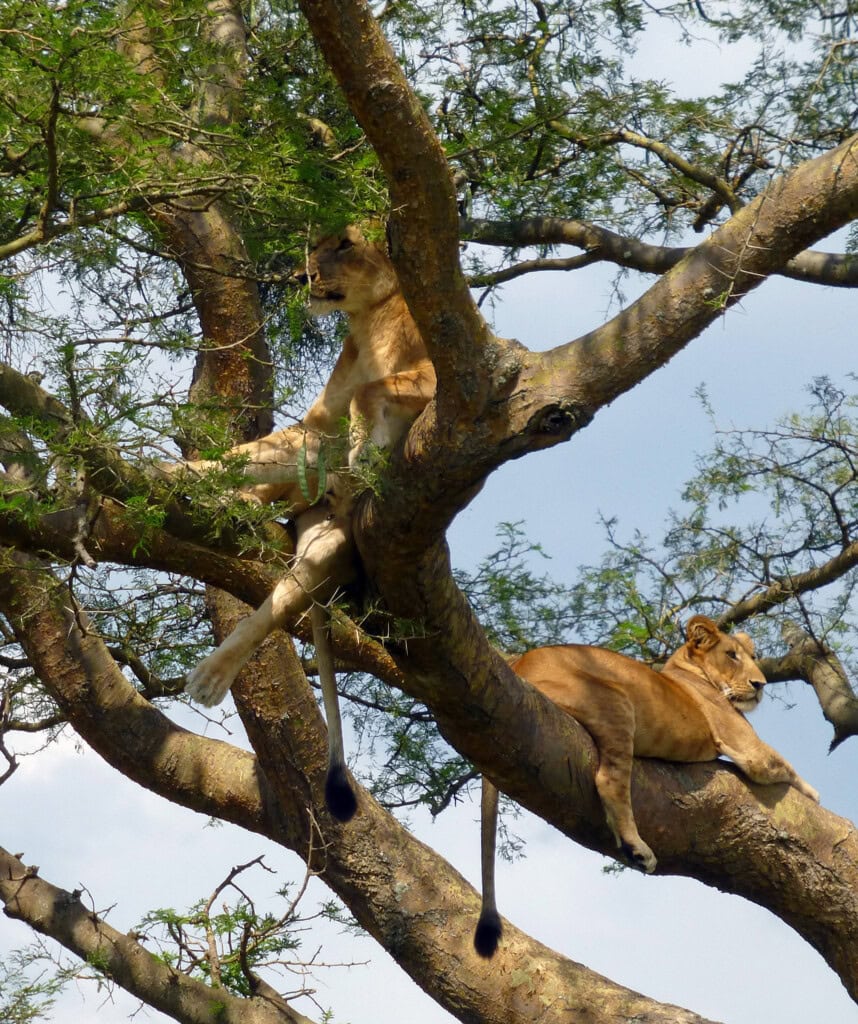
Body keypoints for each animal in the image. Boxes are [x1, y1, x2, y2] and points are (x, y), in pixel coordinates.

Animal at [473, 615, 820, 958]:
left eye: (754, 657)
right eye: (731, 655)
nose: (760, 685)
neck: (686, 670)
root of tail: (519, 664)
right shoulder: (749, 749)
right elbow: (790, 770)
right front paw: (815, 796)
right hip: (616, 700)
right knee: (609, 780)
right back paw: (637, 848)